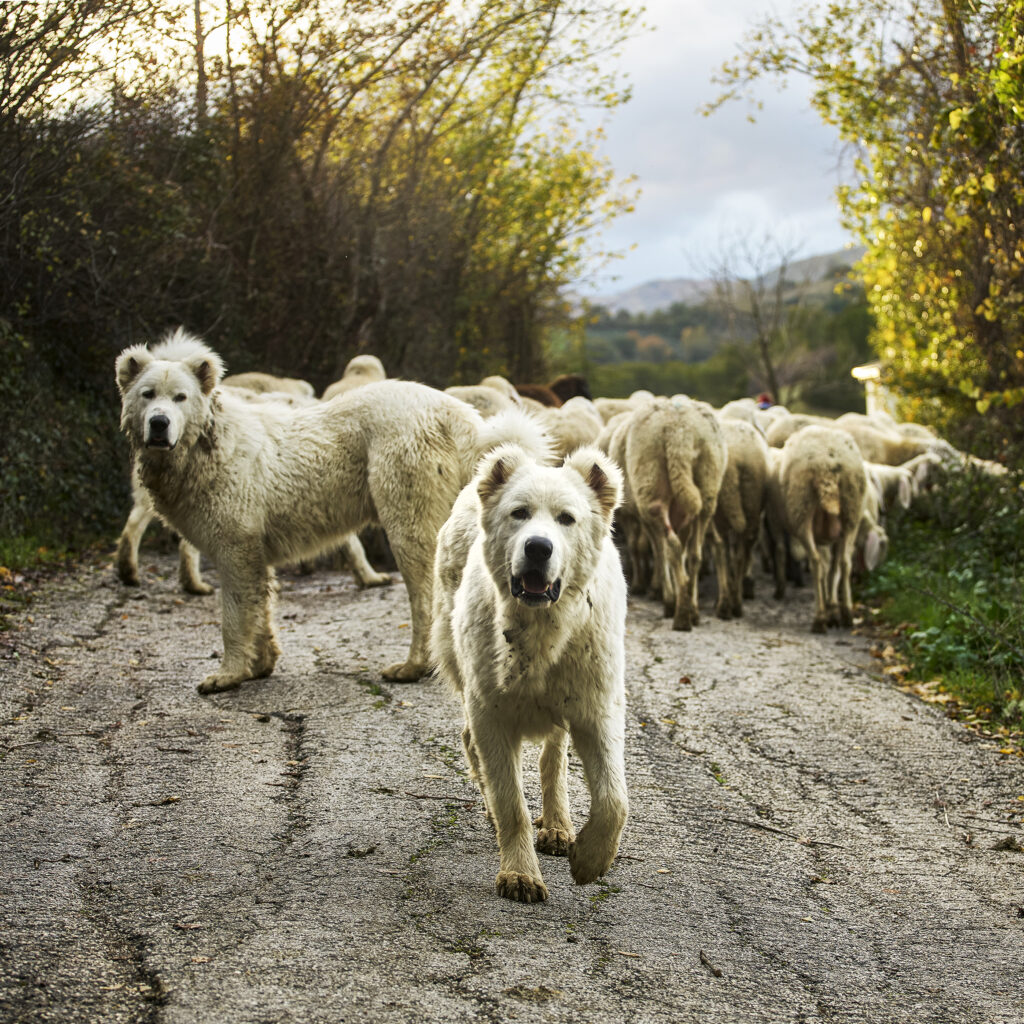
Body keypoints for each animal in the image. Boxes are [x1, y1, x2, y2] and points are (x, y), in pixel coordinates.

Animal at [117, 327, 516, 696]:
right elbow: (260, 602)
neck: (207, 443)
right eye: (147, 394)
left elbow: (235, 609)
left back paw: (411, 665)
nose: (158, 423)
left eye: (180, 397)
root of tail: (464, 419)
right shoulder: (250, 542)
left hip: (407, 487)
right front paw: (261, 664)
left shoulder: (236, 538)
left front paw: (226, 675)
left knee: (423, 587)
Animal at [430, 444, 626, 901]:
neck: (541, 628)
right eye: (519, 513)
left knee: (553, 757)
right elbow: (511, 803)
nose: (538, 548)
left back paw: (557, 826)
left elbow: (614, 801)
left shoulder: (597, 709)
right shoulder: (491, 713)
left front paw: (590, 860)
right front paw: (519, 873)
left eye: (567, 519)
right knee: (474, 747)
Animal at [618, 395, 724, 626]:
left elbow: (659, 552)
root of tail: (679, 432)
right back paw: (691, 609)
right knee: (694, 554)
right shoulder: (682, 518)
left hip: (652, 493)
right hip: (707, 489)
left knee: (670, 548)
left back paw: (679, 612)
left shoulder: (646, 517)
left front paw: (668, 596)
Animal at [712, 415, 770, 614]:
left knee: (723, 549)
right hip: (751, 503)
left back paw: (726, 603)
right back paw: (733, 603)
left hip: (723, 509)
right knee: (738, 550)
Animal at [778, 425, 868, 630]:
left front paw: (828, 609)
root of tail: (827, 464)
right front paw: (833, 607)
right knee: (845, 562)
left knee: (816, 562)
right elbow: (832, 569)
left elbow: (826, 568)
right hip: (852, 511)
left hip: (801, 511)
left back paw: (819, 618)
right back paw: (847, 614)